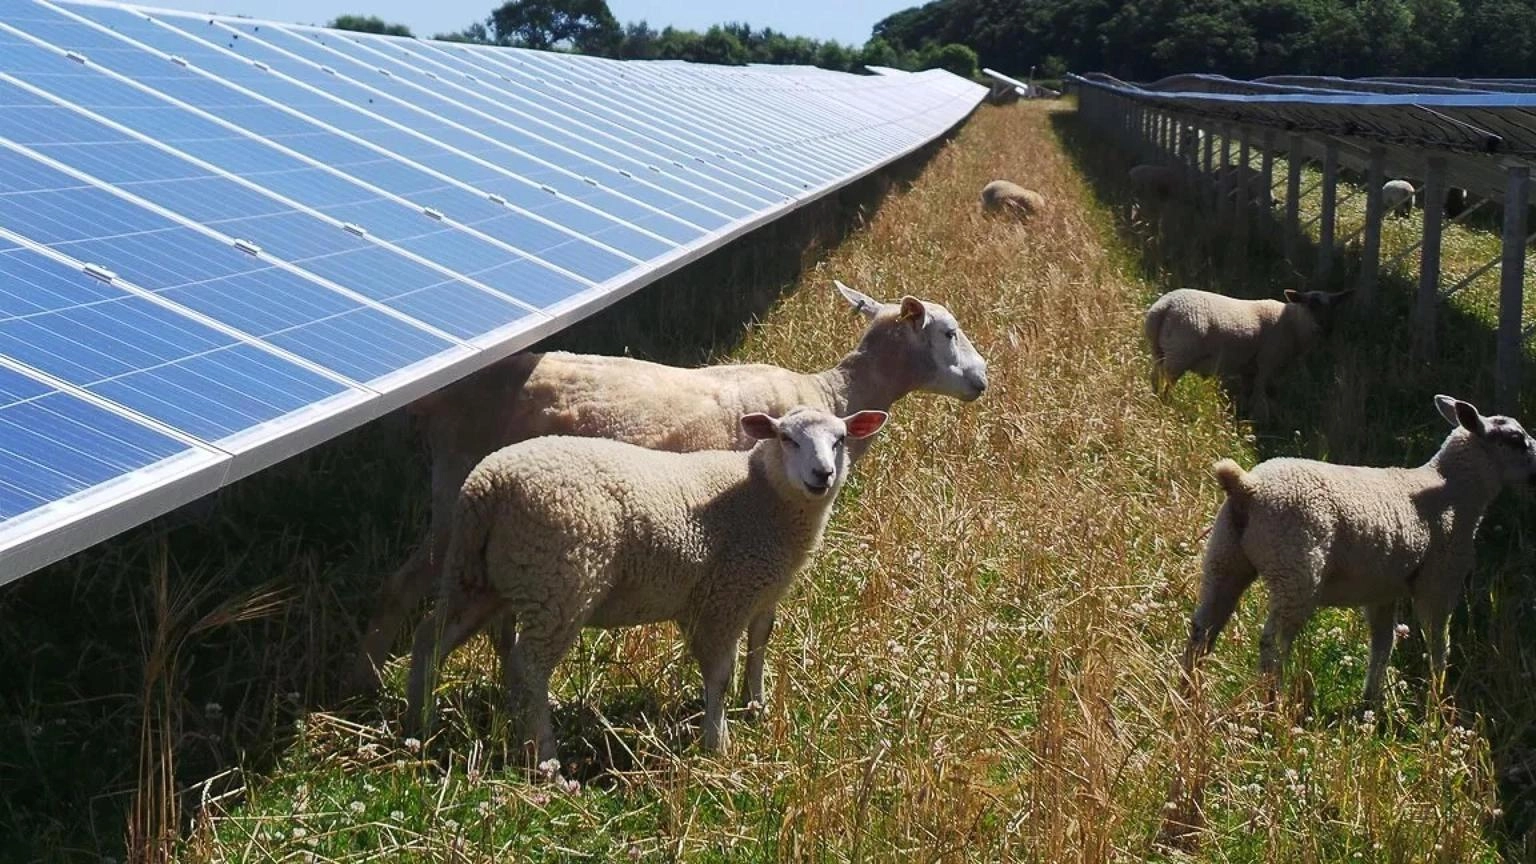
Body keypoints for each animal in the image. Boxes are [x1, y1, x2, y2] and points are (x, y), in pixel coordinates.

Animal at [354, 282, 989, 685]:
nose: (983, 380)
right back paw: (371, 685)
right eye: (950, 332)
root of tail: (441, 401)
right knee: (399, 587)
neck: (834, 395)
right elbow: (758, 626)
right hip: (458, 498)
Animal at [402, 402, 897, 753]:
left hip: (479, 577)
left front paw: (754, 704)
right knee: (530, 665)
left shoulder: (762, 591)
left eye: (839, 440)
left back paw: (419, 724)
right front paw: (716, 742)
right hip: (561, 582)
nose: (822, 474)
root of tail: (487, 485)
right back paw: (545, 757)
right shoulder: (724, 596)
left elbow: (760, 644)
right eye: (786, 438)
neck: (761, 497)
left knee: (431, 639)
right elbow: (719, 672)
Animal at [1142, 285, 1345, 418]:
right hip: (1180, 354)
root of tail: (1163, 307)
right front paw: (1259, 420)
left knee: (1155, 378)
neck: (1293, 324)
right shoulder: (1266, 363)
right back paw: (1167, 405)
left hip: (1159, 350)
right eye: (1311, 305)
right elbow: (1260, 395)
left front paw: (1244, 417)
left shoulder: (1249, 368)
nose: (1328, 329)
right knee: (1166, 384)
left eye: (1333, 307)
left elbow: (1247, 393)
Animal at [1185, 393, 1536, 704]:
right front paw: (1438, 704)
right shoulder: (1438, 583)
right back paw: (1272, 706)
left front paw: (1371, 701)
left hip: (1225, 557)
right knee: (1273, 643)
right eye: (1516, 439)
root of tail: (1247, 487)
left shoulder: (1383, 590)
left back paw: (1188, 694)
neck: (1454, 491)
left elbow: (1383, 645)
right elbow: (1439, 645)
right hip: (1296, 567)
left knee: (1202, 630)